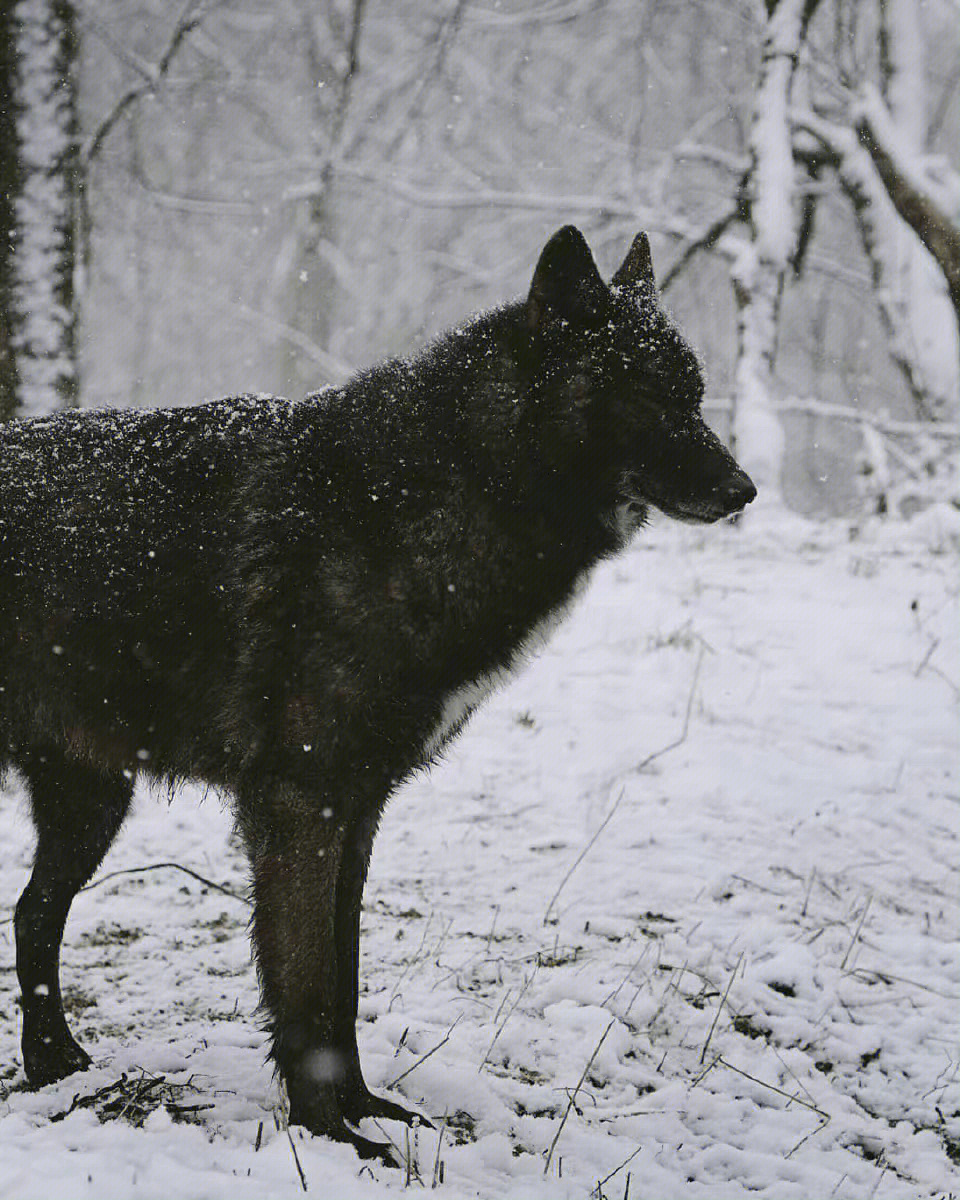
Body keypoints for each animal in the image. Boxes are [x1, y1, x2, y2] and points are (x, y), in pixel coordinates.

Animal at [1, 225, 758, 1161]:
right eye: (651, 395)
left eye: (696, 394)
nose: (743, 490)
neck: (445, 486)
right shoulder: (299, 804)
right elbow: (304, 982)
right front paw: (331, 1136)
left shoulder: (359, 811)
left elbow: (345, 980)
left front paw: (364, 1109)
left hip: (92, 801)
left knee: (32, 914)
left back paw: (53, 1064)